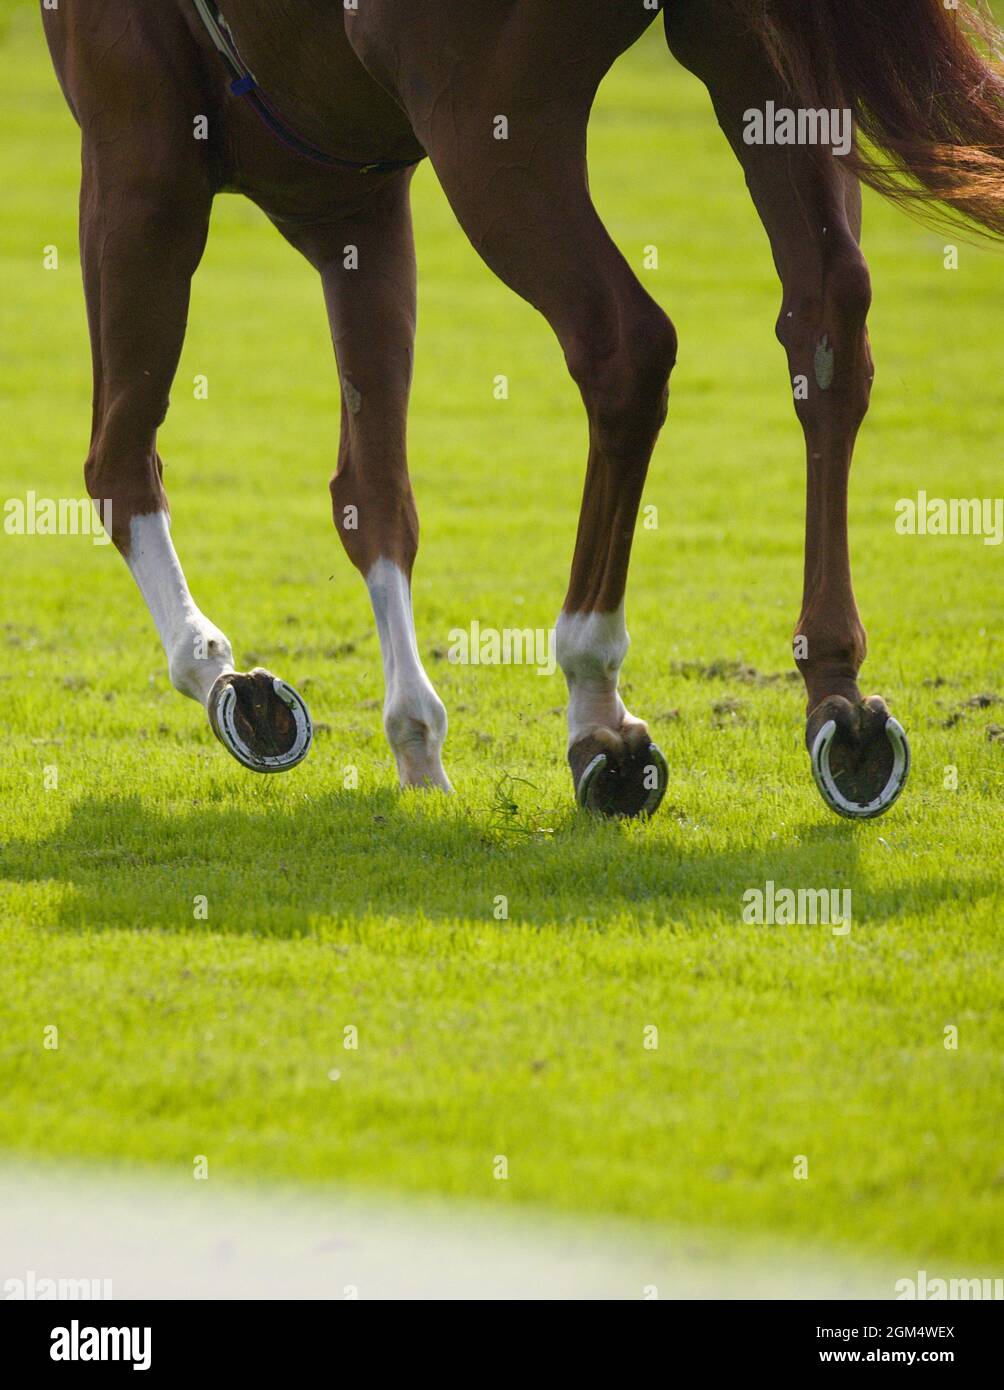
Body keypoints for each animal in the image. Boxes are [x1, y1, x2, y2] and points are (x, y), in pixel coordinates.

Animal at [41, 0, 1001, 817]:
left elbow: (118, 460)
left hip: (490, 121)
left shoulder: (138, 154)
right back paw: (837, 694)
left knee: (625, 347)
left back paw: (595, 694)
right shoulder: (350, 206)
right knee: (825, 325)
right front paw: (414, 739)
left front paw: (220, 676)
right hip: (752, 56)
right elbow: (372, 494)